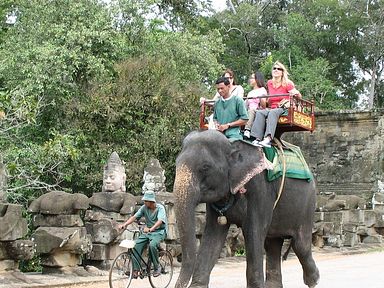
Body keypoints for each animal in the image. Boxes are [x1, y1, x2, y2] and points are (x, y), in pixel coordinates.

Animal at [173, 131, 318, 288]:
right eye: (176, 163)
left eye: (205, 167)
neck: (232, 144)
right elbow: (213, 235)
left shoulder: (260, 189)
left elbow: (253, 232)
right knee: (272, 244)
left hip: (307, 204)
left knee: (300, 245)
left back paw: (314, 281)